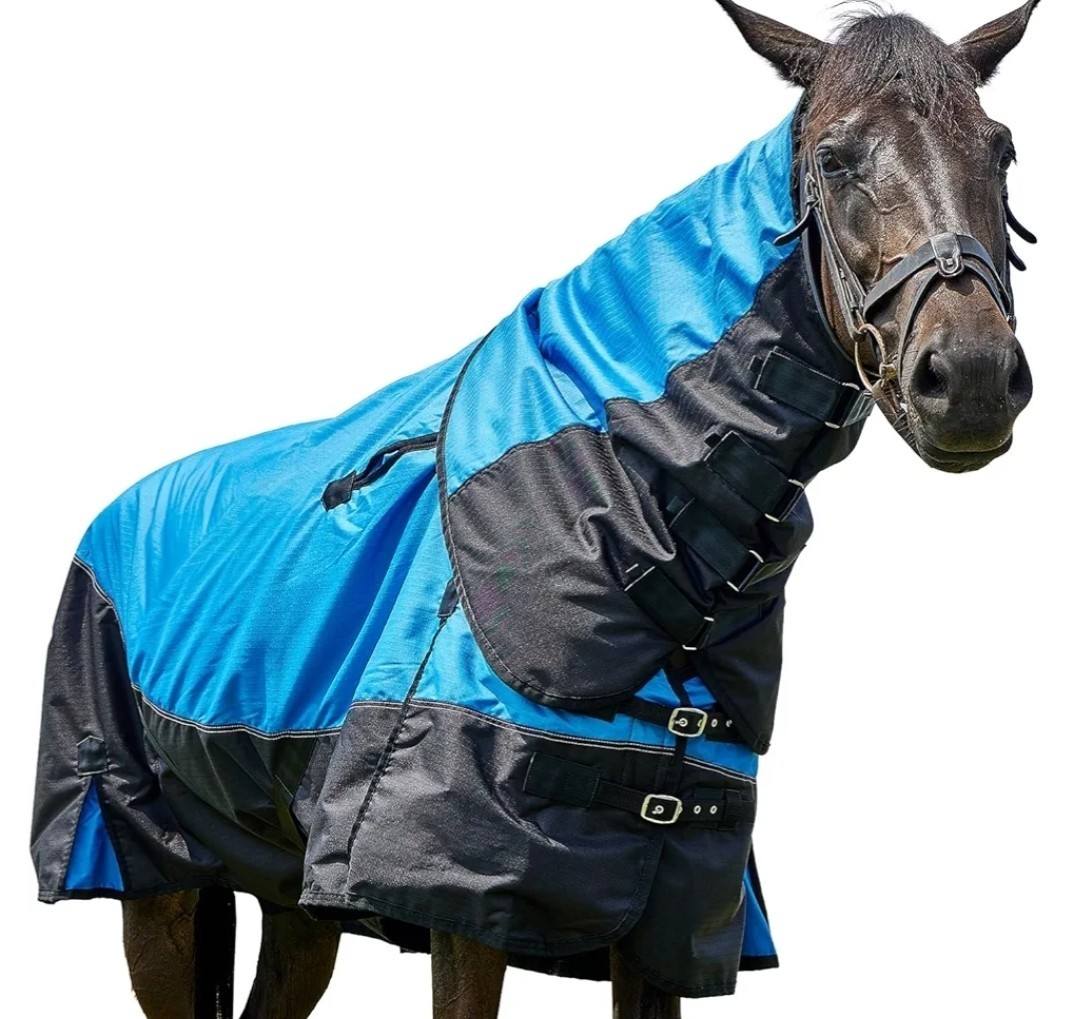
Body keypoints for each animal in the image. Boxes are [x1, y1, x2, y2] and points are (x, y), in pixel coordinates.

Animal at [30, 2, 1043, 1017]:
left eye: (999, 152)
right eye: (833, 160)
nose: (971, 379)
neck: (633, 522)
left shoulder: (667, 914)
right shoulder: (460, 902)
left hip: (287, 894)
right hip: (149, 872)